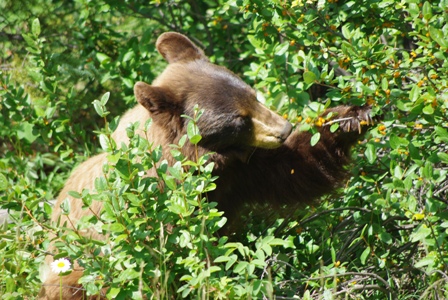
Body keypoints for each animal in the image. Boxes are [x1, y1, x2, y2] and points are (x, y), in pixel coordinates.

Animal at [38, 31, 374, 298]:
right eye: (238, 120)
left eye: (254, 96)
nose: (284, 129)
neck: (202, 164)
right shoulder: (160, 205)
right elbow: (180, 253)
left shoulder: (241, 171)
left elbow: (295, 167)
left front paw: (352, 118)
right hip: (77, 271)